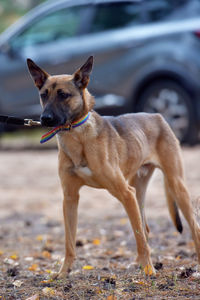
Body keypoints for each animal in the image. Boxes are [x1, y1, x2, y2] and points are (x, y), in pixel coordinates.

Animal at [26, 55, 200, 276]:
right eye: (43, 95)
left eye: (64, 95)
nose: (44, 119)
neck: (77, 136)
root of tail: (157, 116)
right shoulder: (70, 198)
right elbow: (69, 242)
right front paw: (63, 273)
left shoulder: (125, 193)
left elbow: (138, 237)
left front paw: (149, 270)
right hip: (138, 191)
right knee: (145, 229)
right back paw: (138, 263)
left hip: (175, 186)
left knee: (191, 228)